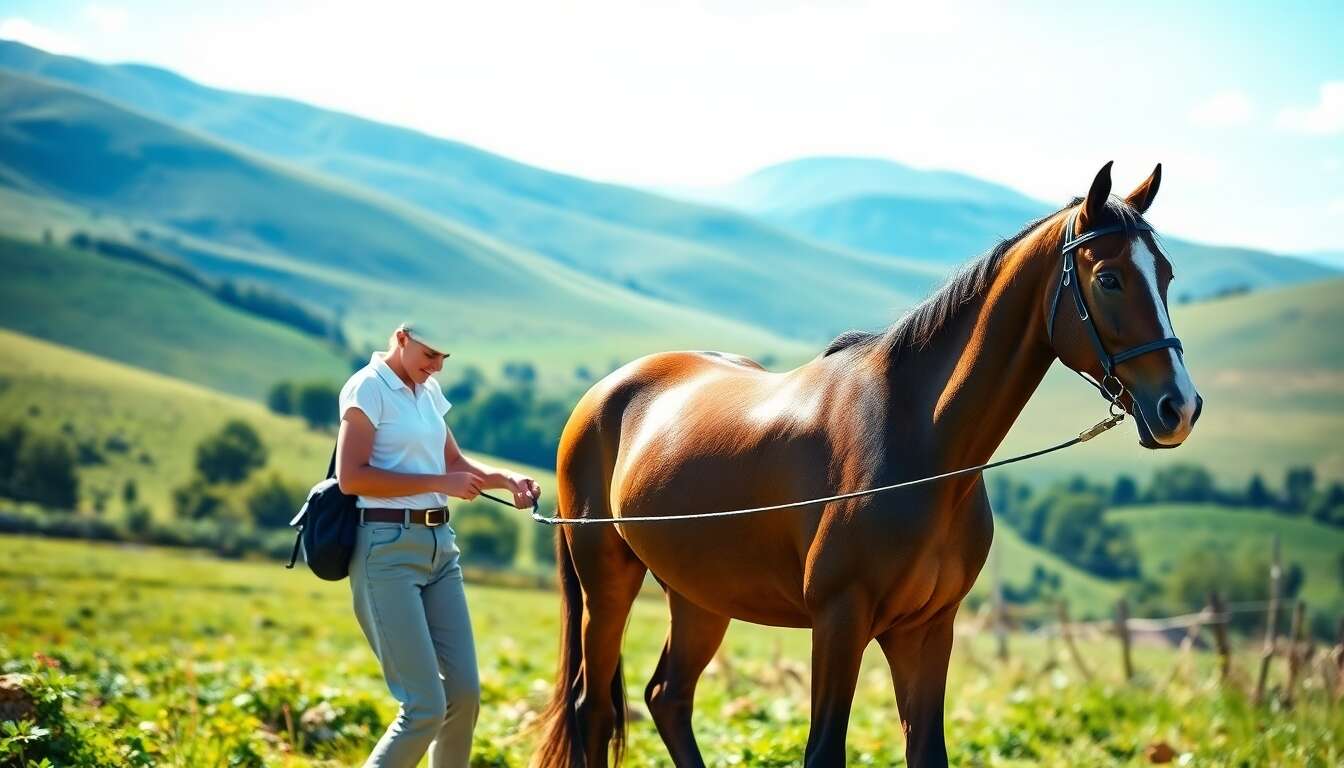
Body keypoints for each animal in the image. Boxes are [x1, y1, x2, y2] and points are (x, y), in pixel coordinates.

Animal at [530, 162, 1203, 768]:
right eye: (1110, 278)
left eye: (1166, 275)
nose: (1180, 407)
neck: (920, 443)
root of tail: (604, 393)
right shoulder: (840, 621)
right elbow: (823, 751)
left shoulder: (926, 630)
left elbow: (928, 751)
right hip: (607, 584)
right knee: (595, 710)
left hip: (700, 597)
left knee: (667, 699)